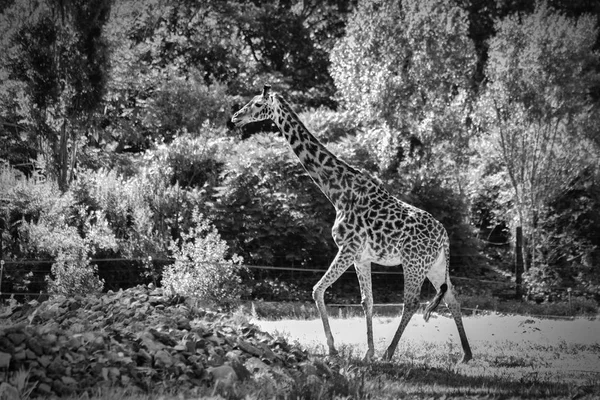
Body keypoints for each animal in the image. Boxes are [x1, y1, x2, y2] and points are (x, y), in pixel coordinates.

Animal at [232, 83, 472, 362]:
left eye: (258, 104)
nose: (236, 117)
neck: (337, 190)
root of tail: (444, 237)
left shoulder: (347, 247)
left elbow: (317, 289)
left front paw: (333, 349)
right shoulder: (361, 256)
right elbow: (366, 301)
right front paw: (368, 352)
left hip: (414, 262)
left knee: (411, 301)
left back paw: (389, 353)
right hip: (436, 264)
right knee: (452, 298)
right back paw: (466, 355)